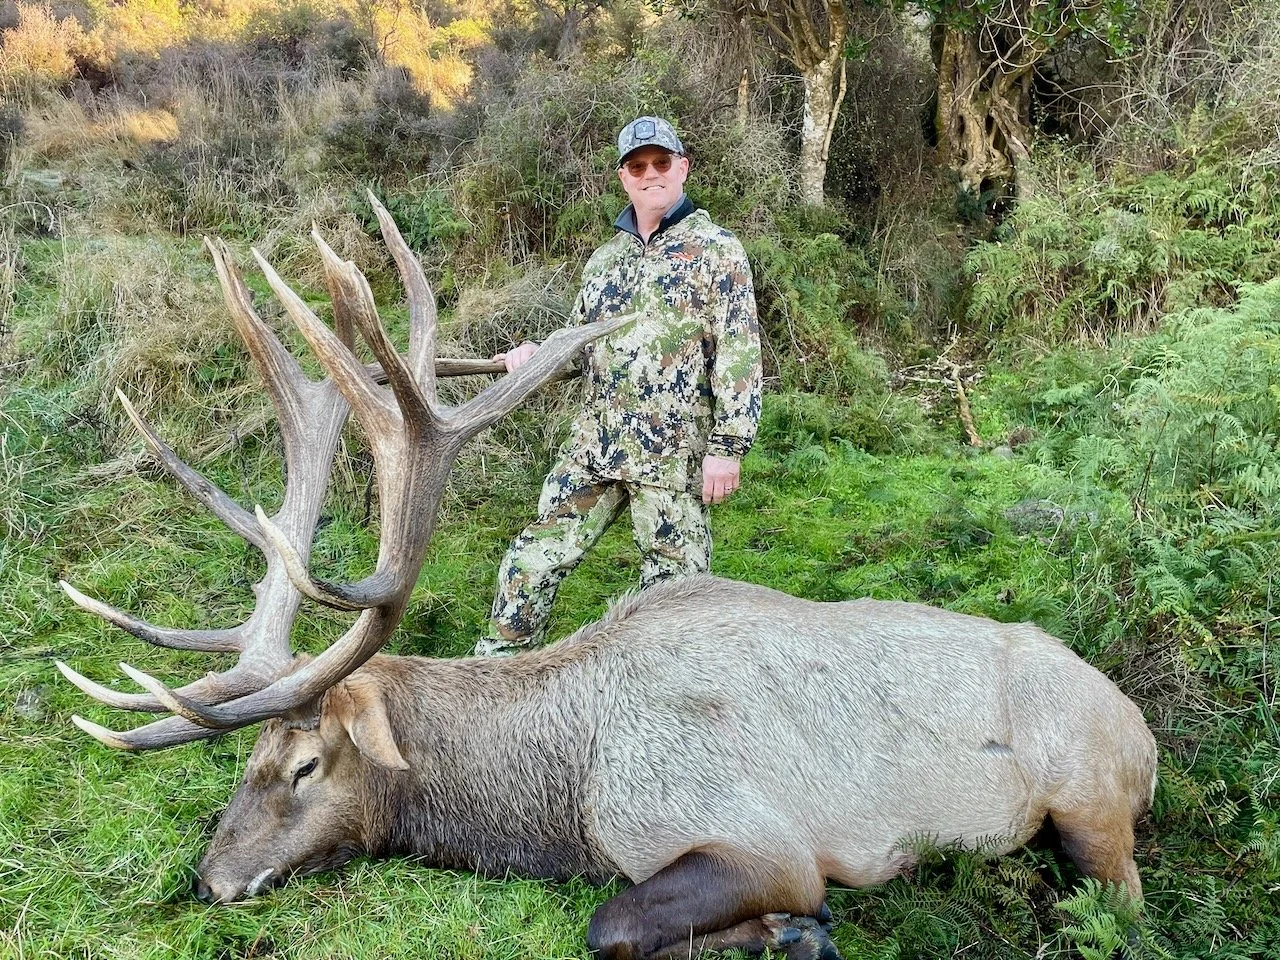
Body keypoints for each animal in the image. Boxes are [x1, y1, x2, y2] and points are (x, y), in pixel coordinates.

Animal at [56, 196, 1158, 960]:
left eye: (304, 766)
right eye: (246, 764)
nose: (210, 878)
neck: (561, 802)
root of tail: (1144, 730)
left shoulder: (752, 837)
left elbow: (613, 926)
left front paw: (792, 932)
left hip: (1087, 795)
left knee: (1122, 897)